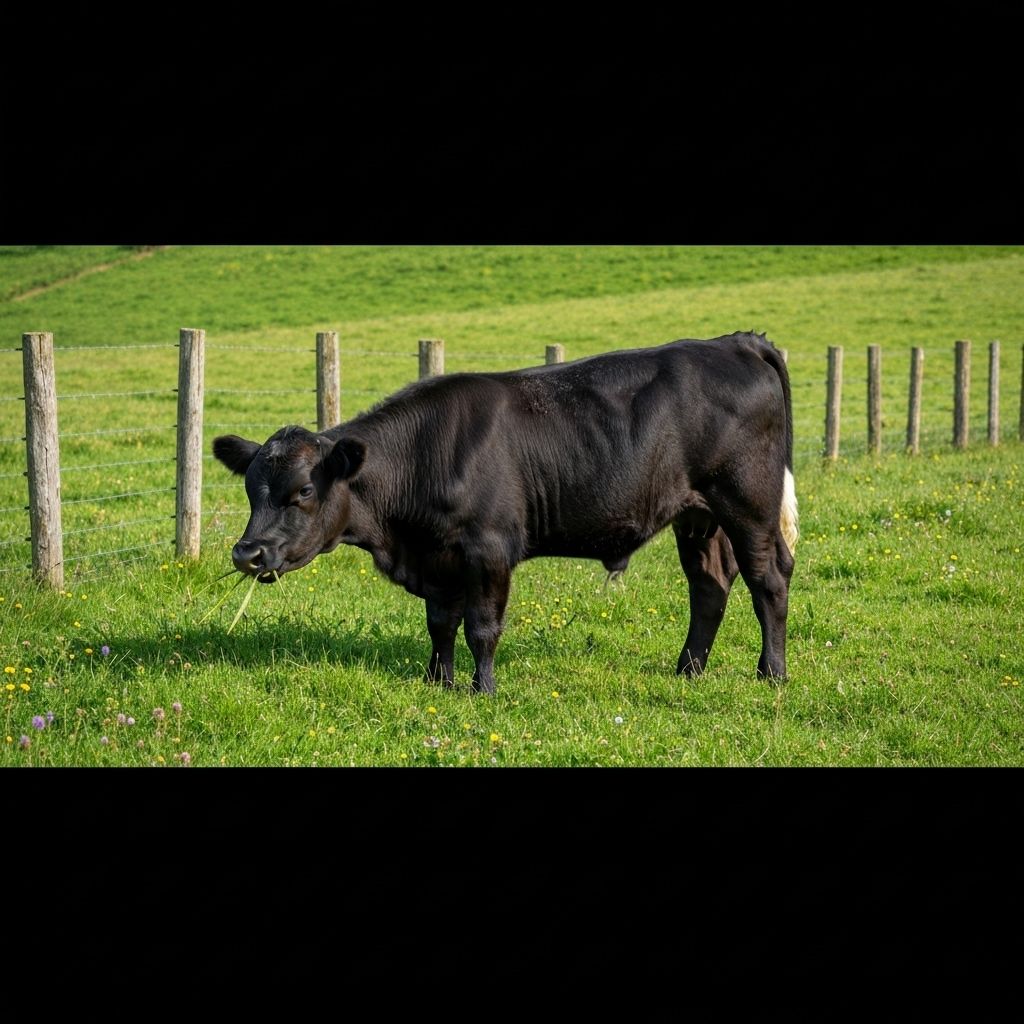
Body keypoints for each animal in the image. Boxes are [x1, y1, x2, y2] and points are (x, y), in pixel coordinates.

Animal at [212, 331, 798, 693]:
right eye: (251, 491)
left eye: (303, 491)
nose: (247, 553)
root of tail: (735, 343)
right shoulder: (439, 558)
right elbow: (440, 624)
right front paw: (439, 682)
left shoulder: (489, 548)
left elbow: (482, 627)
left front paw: (483, 688)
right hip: (697, 515)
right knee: (710, 585)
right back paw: (688, 670)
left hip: (748, 503)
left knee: (768, 578)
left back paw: (771, 673)